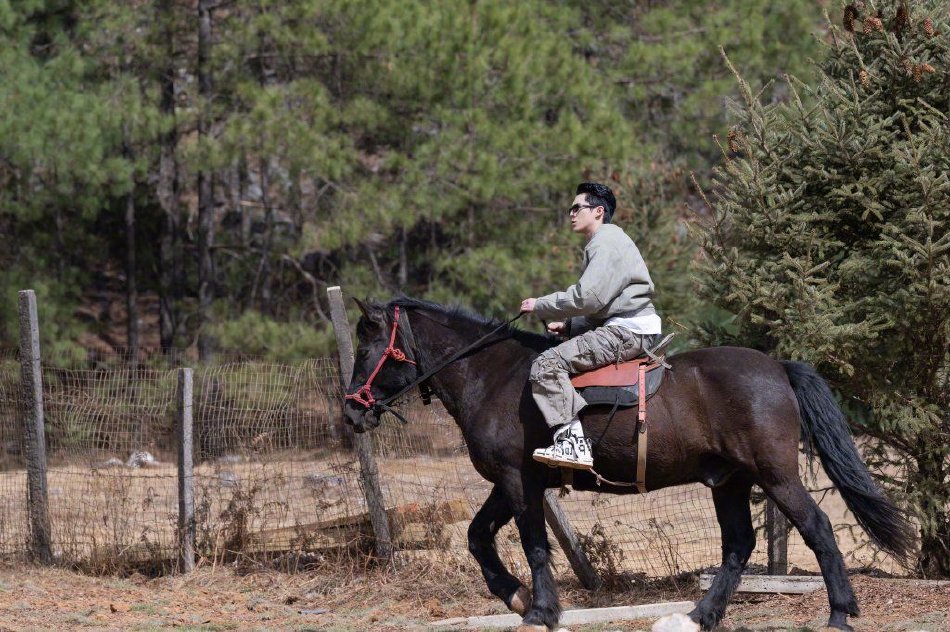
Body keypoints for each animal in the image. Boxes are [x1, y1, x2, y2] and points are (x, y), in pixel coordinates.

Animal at [342, 298, 916, 632]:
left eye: (368, 343)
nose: (351, 410)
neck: (492, 375)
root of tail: (776, 367)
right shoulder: (510, 485)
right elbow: (478, 536)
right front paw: (514, 596)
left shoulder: (518, 481)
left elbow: (533, 545)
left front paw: (540, 611)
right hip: (730, 482)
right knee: (738, 545)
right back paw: (702, 615)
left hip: (775, 476)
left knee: (817, 528)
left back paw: (839, 614)